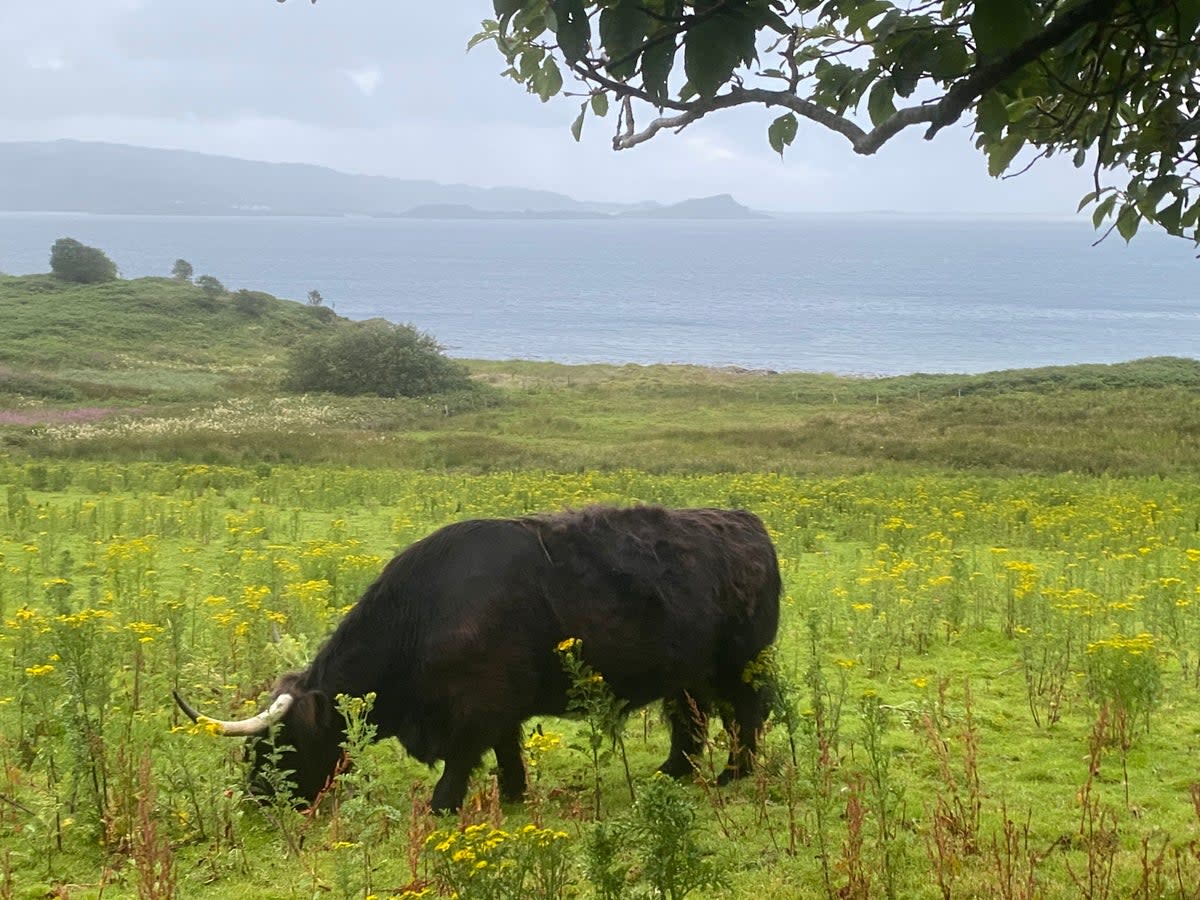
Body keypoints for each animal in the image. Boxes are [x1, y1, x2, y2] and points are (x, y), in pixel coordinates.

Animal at [174, 504, 782, 816]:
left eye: (279, 744)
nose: (259, 801)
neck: (423, 614)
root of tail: (745, 522)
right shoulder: (501, 705)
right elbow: (507, 750)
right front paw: (513, 794)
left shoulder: (475, 705)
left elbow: (463, 758)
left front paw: (443, 806)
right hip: (688, 672)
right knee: (691, 718)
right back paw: (674, 771)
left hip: (741, 664)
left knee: (748, 714)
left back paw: (733, 774)